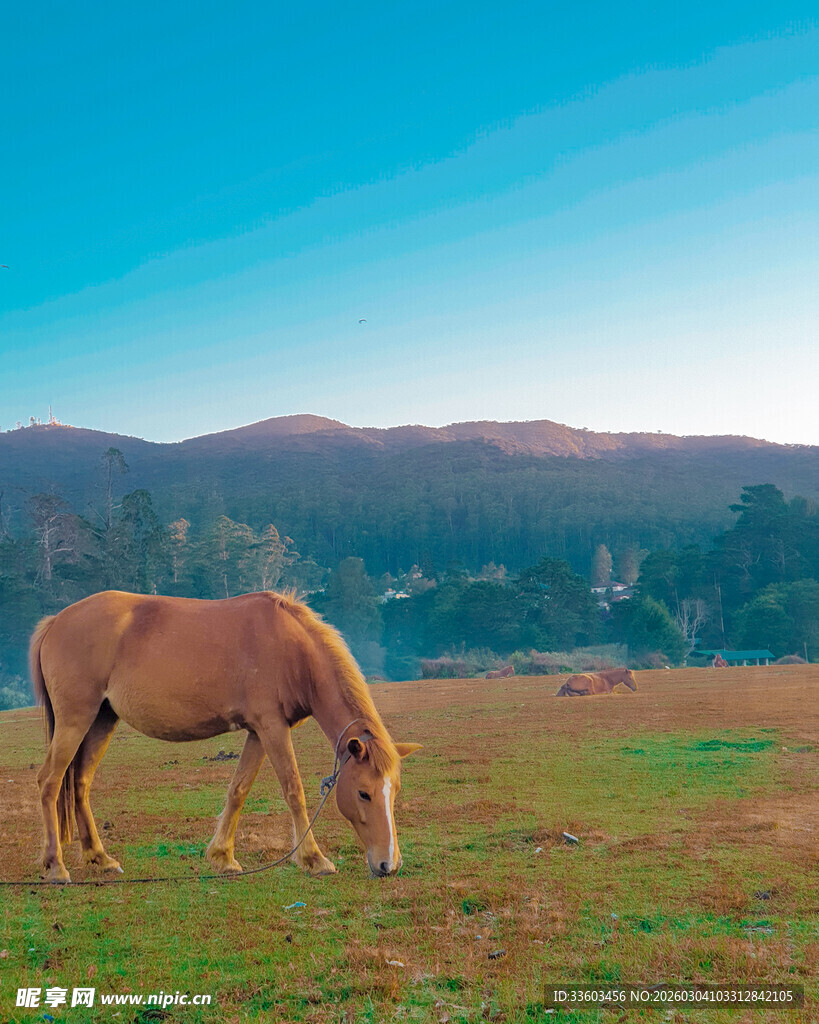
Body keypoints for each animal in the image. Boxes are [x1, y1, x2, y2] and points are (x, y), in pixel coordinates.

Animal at [29, 590, 421, 884]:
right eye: (363, 793)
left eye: (394, 791)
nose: (389, 864)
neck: (292, 649)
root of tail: (55, 622)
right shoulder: (271, 728)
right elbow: (293, 790)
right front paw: (313, 859)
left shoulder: (259, 732)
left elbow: (238, 791)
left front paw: (222, 856)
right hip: (75, 721)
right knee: (50, 781)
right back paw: (56, 866)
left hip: (100, 721)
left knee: (79, 783)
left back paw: (100, 857)